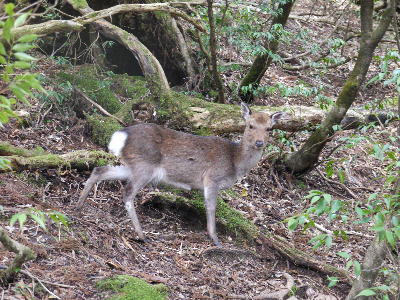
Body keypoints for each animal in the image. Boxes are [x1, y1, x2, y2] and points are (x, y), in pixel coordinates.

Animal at [76, 103, 284, 246]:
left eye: (269, 128)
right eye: (250, 125)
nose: (259, 143)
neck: (234, 162)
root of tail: (119, 137)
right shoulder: (212, 178)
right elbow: (211, 208)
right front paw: (215, 238)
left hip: (132, 166)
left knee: (100, 170)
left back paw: (78, 205)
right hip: (145, 166)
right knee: (127, 193)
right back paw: (142, 235)